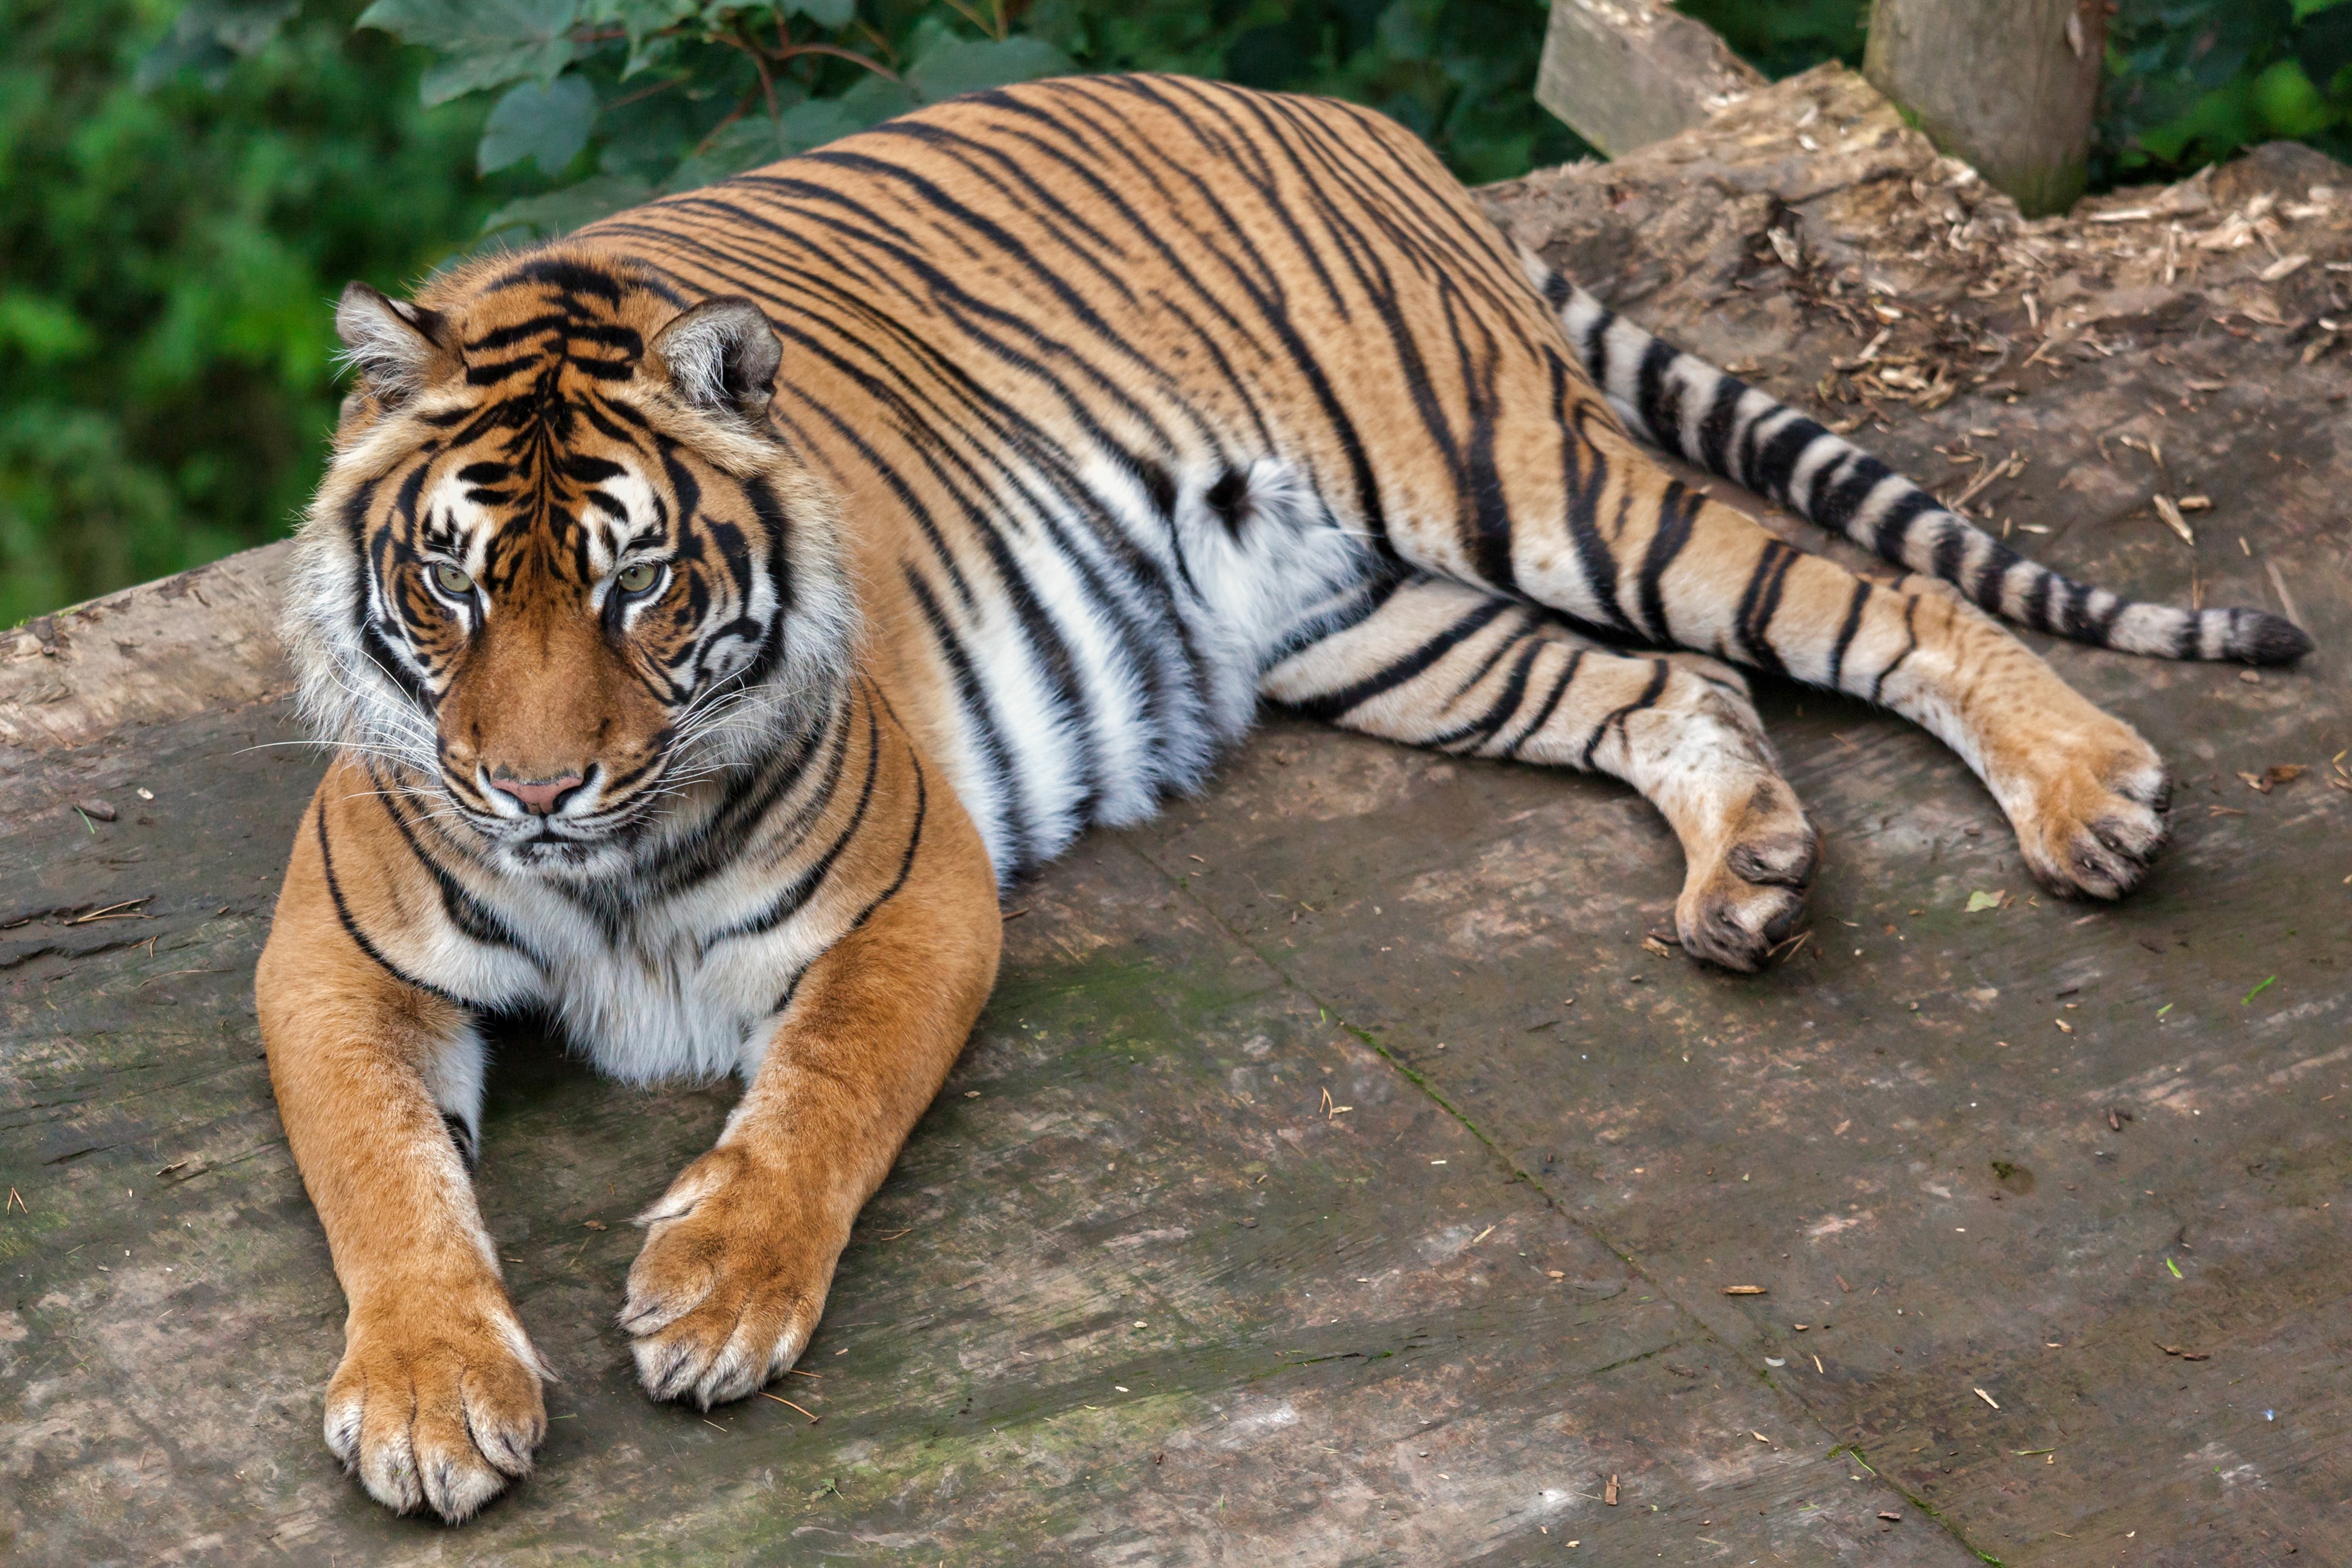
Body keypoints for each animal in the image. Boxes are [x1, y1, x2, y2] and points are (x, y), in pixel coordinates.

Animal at [255, 71, 2308, 1522]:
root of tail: (1327, 111)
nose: (531, 789)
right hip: (1367, 620)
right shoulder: (334, 957)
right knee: (1673, 681)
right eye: (452, 584)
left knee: (1869, 598)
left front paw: (719, 1291)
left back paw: (2091, 797)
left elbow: (824, 1090)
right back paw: (1751, 876)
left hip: (1517, 472)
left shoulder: (916, 894)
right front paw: (432, 1393)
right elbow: (384, 1172)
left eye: (637, 585)